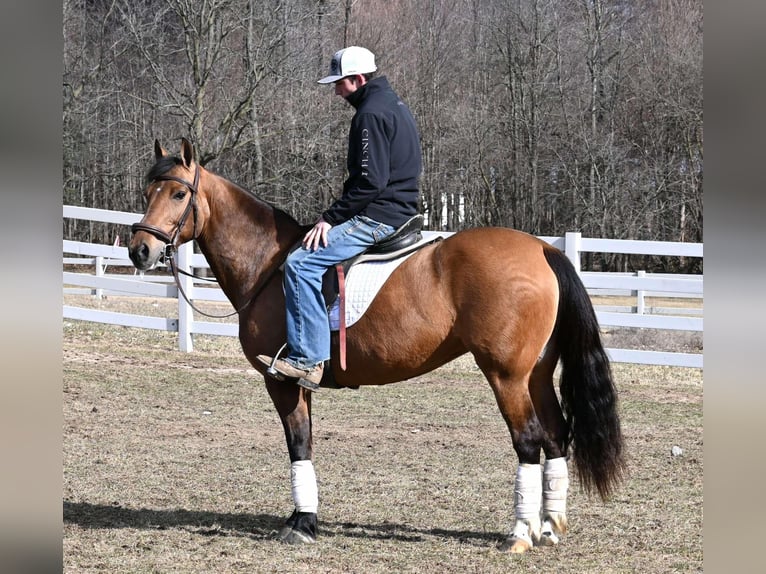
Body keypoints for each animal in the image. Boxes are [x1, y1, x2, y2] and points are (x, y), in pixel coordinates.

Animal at [128, 138, 625, 553]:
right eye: (147, 191)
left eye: (177, 195)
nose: (139, 250)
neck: (269, 263)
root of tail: (544, 249)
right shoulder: (302, 382)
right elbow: (306, 442)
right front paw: (305, 518)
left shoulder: (281, 381)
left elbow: (297, 443)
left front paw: (301, 524)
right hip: (536, 373)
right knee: (557, 436)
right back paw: (550, 526)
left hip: (506, 377)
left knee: (528, 441)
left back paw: (521, 533)